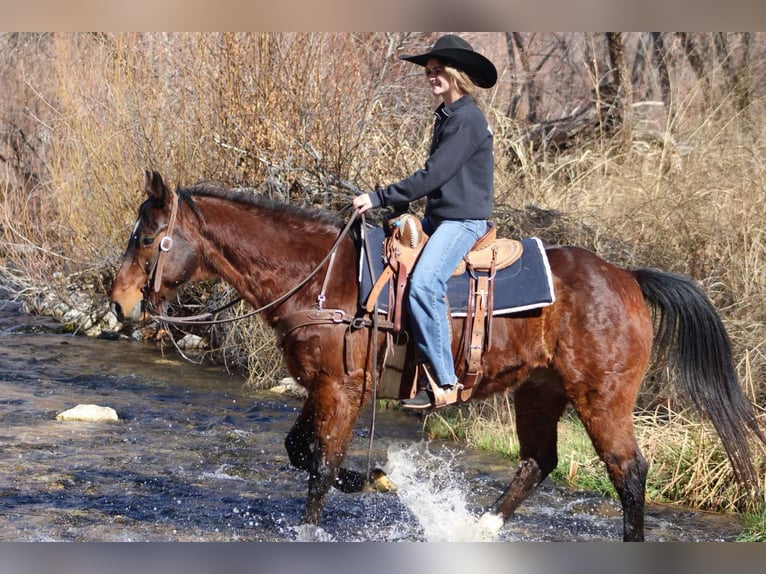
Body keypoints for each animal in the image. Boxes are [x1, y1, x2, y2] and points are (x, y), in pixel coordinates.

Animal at [109, 170, 764, 541]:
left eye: (147, 237)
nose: (119, 303)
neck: (320, 280)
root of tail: (628, 277)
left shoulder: (341, 389)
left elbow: (319, 466)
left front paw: (327, 513)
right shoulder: (321, 387)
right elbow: (301, 450)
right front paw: (374, 477)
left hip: (601, 397)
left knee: (628, 473)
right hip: (540, 391)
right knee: (538, 462)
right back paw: (478, 527)